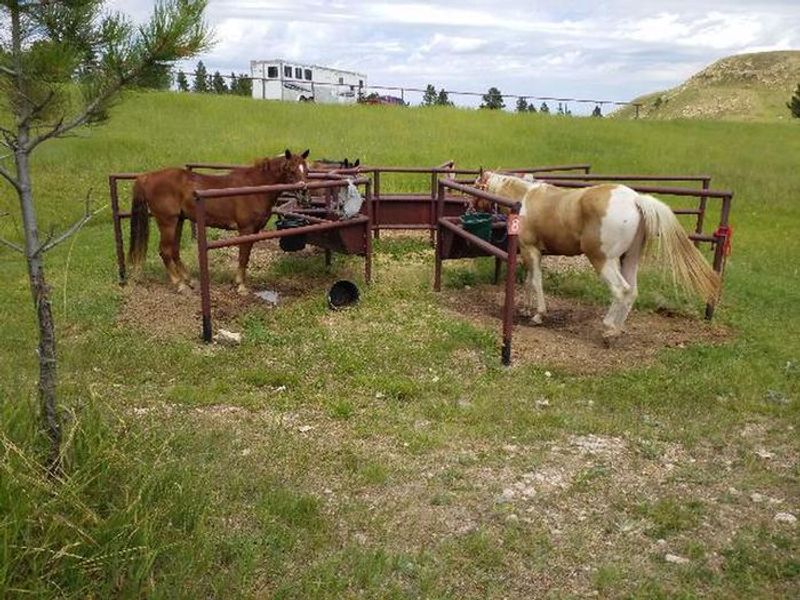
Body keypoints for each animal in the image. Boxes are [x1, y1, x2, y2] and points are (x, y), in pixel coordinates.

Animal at [128, 149, 310, 294]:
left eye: (306, 170)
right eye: (290, 170)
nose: (304, 192)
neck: (254, 187)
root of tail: (146, 177)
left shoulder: (254, 231)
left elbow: (246, 256)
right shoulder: (246, 229)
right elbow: (243, 257)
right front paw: (241, 286)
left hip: (178, 221)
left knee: (174, 250)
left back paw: (189, 281)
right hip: (167, 222)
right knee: (165, 251)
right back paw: (180, 285)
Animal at [474, 172, 721, 340]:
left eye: (476, 185)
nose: (469, 206)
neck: (524, 198)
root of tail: (634, 200)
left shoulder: (530, 250)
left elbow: (535, 281)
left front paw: (539, 315)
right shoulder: (532, 253)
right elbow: (528, 281)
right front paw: (527, 309)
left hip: (603, 260)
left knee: (620, 290)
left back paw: (608, 329)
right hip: (629, 259)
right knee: (632, 291)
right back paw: (618, 329)